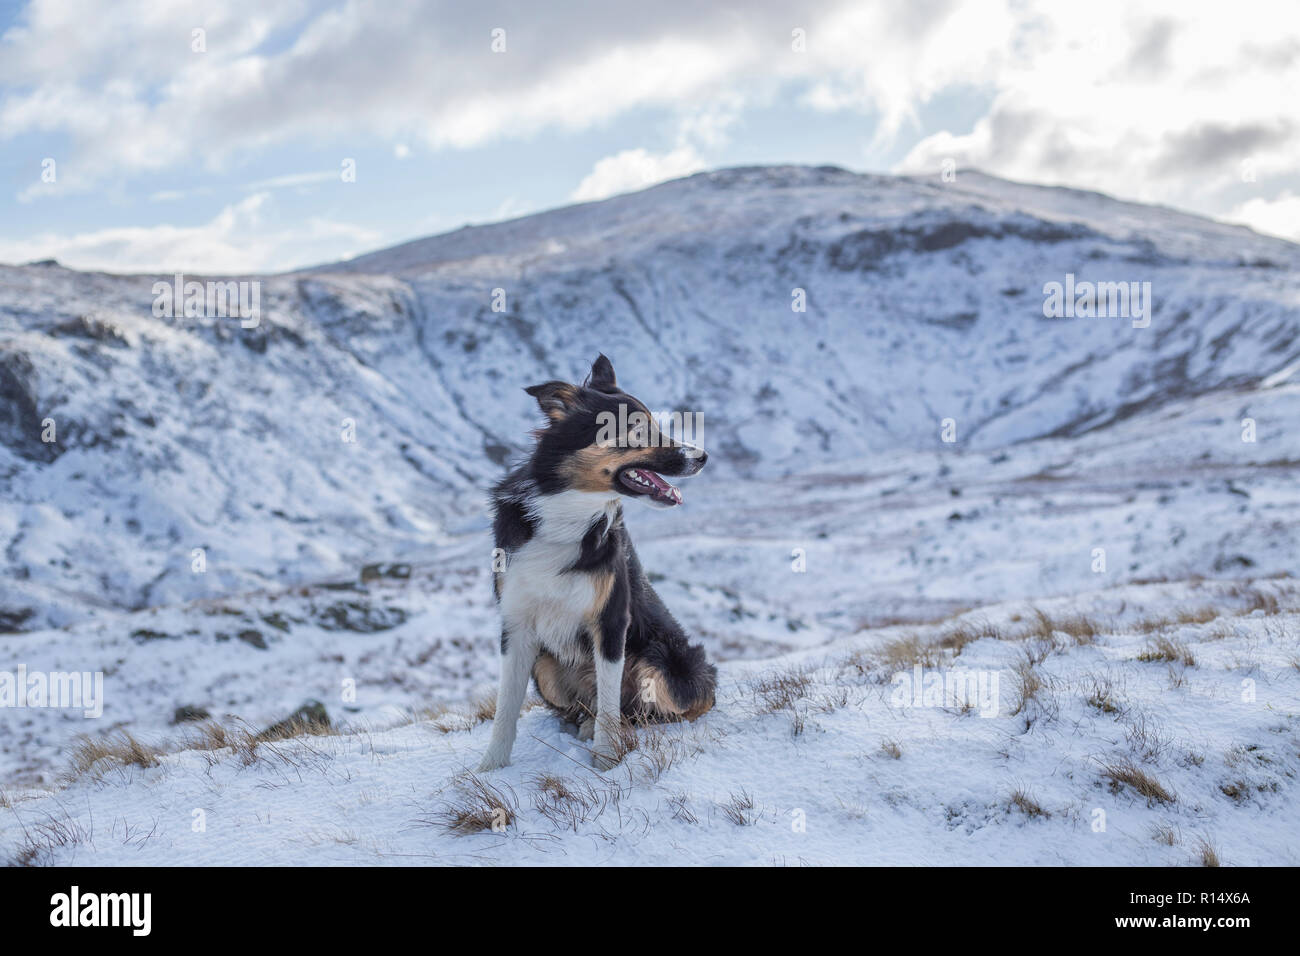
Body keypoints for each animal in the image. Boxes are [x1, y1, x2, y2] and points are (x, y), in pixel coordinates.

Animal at [480, 356, 717, 775]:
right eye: (636, 430)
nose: (702, 457)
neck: (569, 510)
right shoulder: (516, 621)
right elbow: (506, 706)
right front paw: (492, 768)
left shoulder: (610, 620)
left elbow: (608, 701)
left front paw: (606, 762)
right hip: (547, 667)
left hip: (667, 663)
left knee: (656, 708)